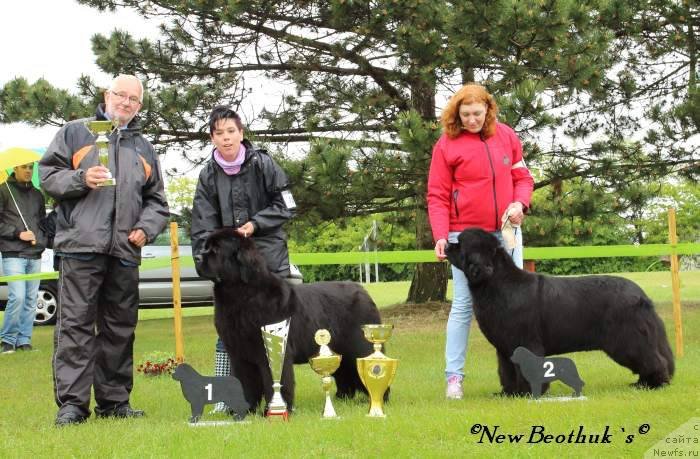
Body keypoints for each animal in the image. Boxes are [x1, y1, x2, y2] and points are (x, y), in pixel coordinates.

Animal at [197, 229, 382, 414]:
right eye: (205, 246)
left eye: (216, 249)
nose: (197, 257)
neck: (242, 295)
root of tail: (362, 290)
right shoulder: (239, 354)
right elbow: (245, 382)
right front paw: (245, 410)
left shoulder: (271, 351)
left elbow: (275, 383)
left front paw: (276, 410)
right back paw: (342, 398)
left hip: (358, 345)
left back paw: (379, 399)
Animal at [446, 229, 676, 396]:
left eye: (460, 242)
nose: (445, 244)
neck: (497, 284)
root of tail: (641, 295)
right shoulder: (505, 348)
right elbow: (507, 371)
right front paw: (510, 393)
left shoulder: (525, 341)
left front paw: (528, 393)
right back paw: (642, 384)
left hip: (628, 339)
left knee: (652, 359)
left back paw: (653, 384)